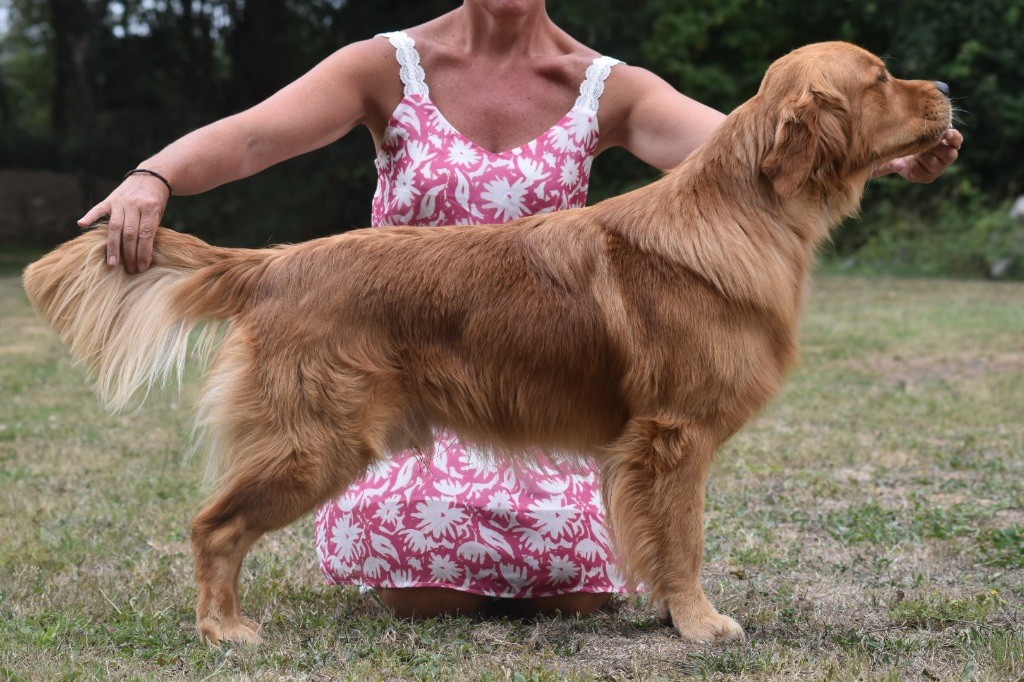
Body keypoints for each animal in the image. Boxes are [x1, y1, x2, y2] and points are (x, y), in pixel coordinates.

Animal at [24, 42, 950, 643]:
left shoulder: (654, 445)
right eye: (879, 77)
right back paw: (224, 631)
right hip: (316, 442)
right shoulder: (676, 435)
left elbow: (660, 542)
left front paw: (672, 612)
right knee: (212, 526)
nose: (942, 87)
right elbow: (683, 540)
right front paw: (699, 622)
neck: (744, 207)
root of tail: (277, 261)